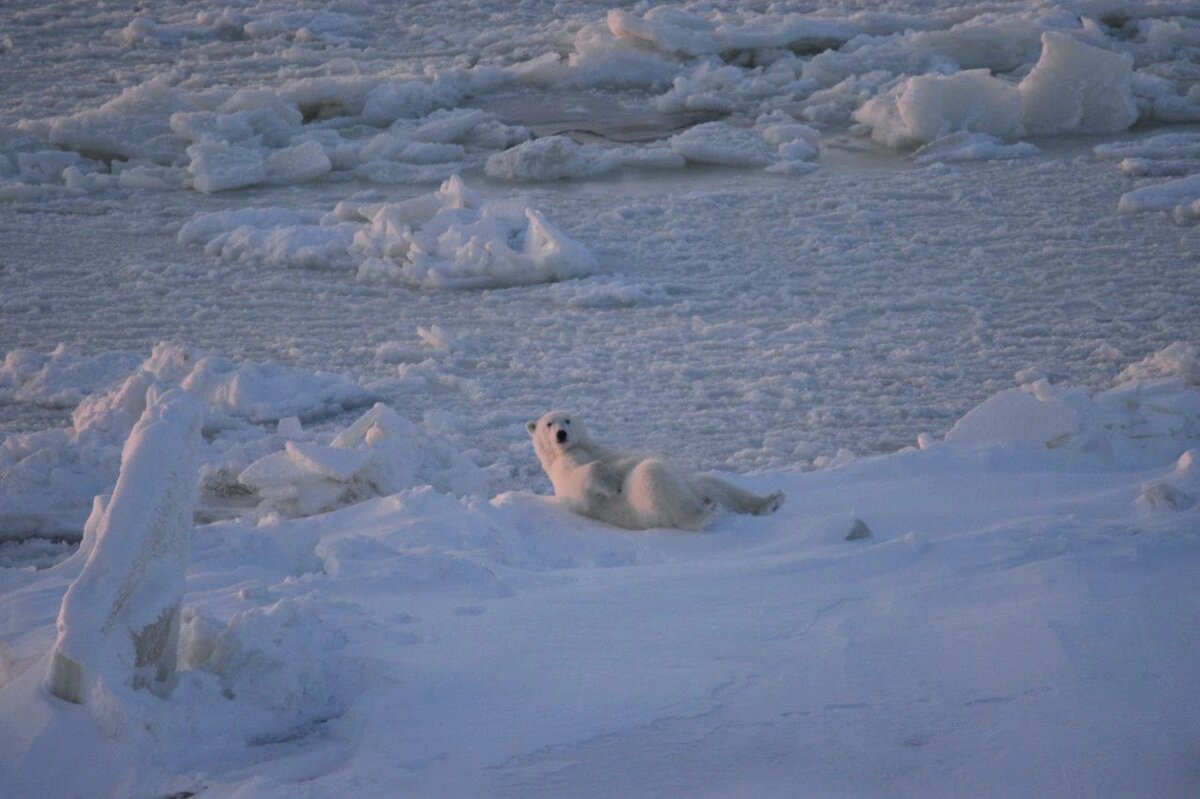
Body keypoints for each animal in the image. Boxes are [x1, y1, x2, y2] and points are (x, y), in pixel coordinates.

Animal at [530, 410, 782, 527]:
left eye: (568, 420)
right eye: (548, 424)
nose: (561, 434)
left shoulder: (600, 449)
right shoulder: (564, 472)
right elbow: (580, 479)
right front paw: (615, 485)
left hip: (691, 483)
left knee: (715, 485)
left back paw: (772, 501)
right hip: (644, 505)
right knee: (654, 476)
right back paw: (704, 514)